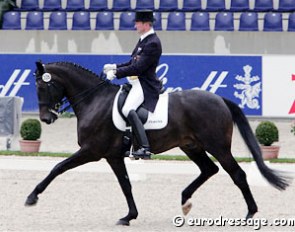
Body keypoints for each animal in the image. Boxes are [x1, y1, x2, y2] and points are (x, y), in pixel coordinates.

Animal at [26, 61, 292, 227]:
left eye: (42, 86)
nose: (46, 119)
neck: (95, 100)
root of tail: (218, 98)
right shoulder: (112, 155)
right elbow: (126, 185)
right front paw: (129, 216)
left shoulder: (92, 150)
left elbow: (57, 168)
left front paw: (32, 197)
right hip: (191, 146)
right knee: (209, 169)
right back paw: (185, 201)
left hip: (217, 146)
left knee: (236, 174)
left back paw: (250, 213)